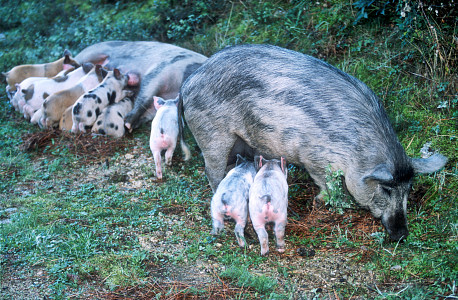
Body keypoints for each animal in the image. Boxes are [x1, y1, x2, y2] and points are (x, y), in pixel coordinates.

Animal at [72, 40, 207, 130]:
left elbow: (149, 112)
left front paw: (131, 126)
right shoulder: (163, 69)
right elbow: (145, 94)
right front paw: (127, 123)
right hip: (90, 52)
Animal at [179, 44, 448, 241]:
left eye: (409, 189)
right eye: (386, 189)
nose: (402, 234)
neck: (356, 149)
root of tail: (187, 84)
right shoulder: (313, 157)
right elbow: (327, 183)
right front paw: (329, 202)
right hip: (212, 134)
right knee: (212, 171)